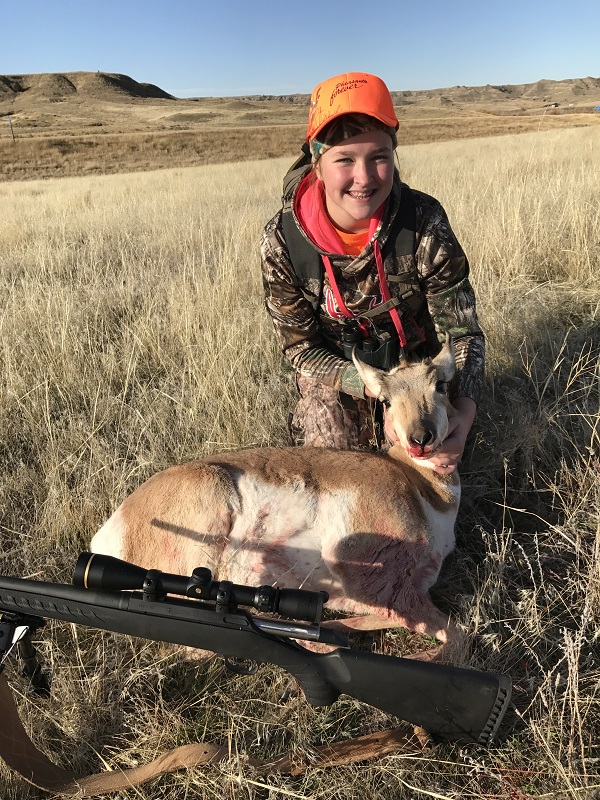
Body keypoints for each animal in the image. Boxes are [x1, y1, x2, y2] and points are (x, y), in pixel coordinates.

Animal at [91, 337, 461, 647]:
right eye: (386, 400)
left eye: (441, 385)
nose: (420, 438)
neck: (418, 486)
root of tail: (113, 525)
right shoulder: (365, 575)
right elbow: (455, 636)